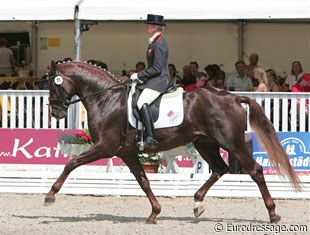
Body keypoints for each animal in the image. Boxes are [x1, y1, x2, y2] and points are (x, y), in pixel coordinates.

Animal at [46, 61, 300, 224]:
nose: (56, 112)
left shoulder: (105, 147)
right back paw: (197, 204)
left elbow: (71, 164)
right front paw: (154, 214)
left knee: (255, 170)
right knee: (220, 168)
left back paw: (273, 214)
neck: (105, 98)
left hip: (233, 144)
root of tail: (234, 98)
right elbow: (143, 181)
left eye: (53, 84)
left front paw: (50, 195)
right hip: (205, 143)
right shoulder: (127, 152)